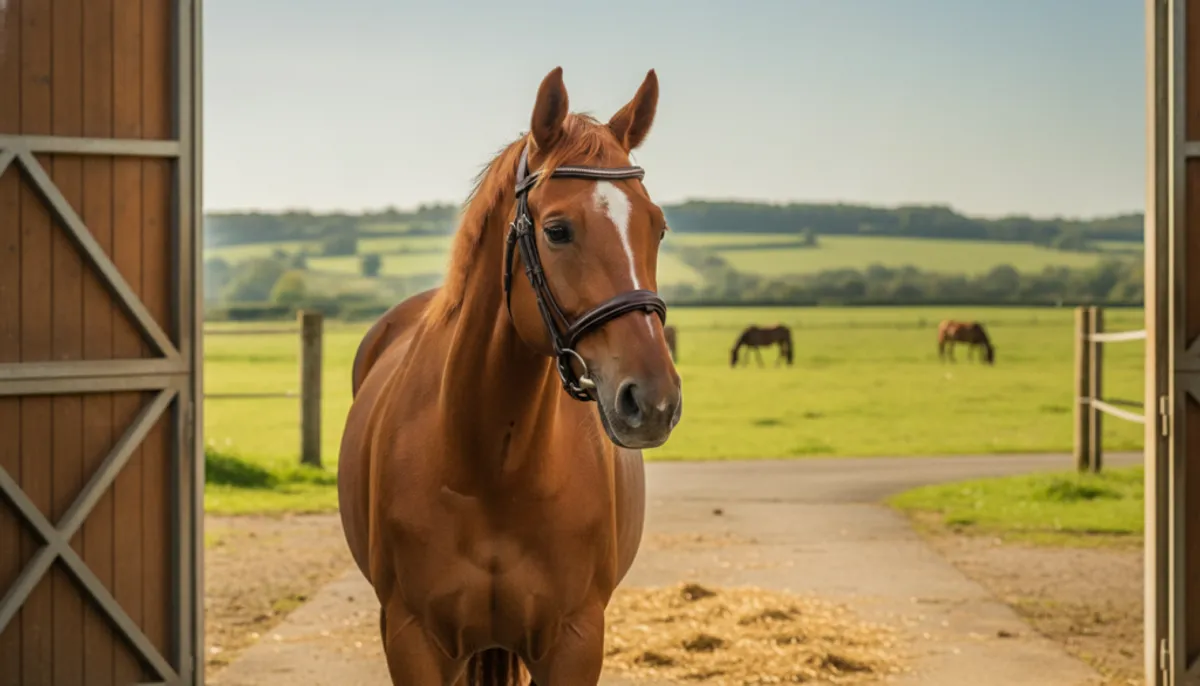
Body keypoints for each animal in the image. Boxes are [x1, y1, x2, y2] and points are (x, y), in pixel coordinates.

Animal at [338, 67, 682, 686]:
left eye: (658, 228)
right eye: (558, 230)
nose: (654, 401)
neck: (493, 469)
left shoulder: (575, 640)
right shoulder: (412, 638)